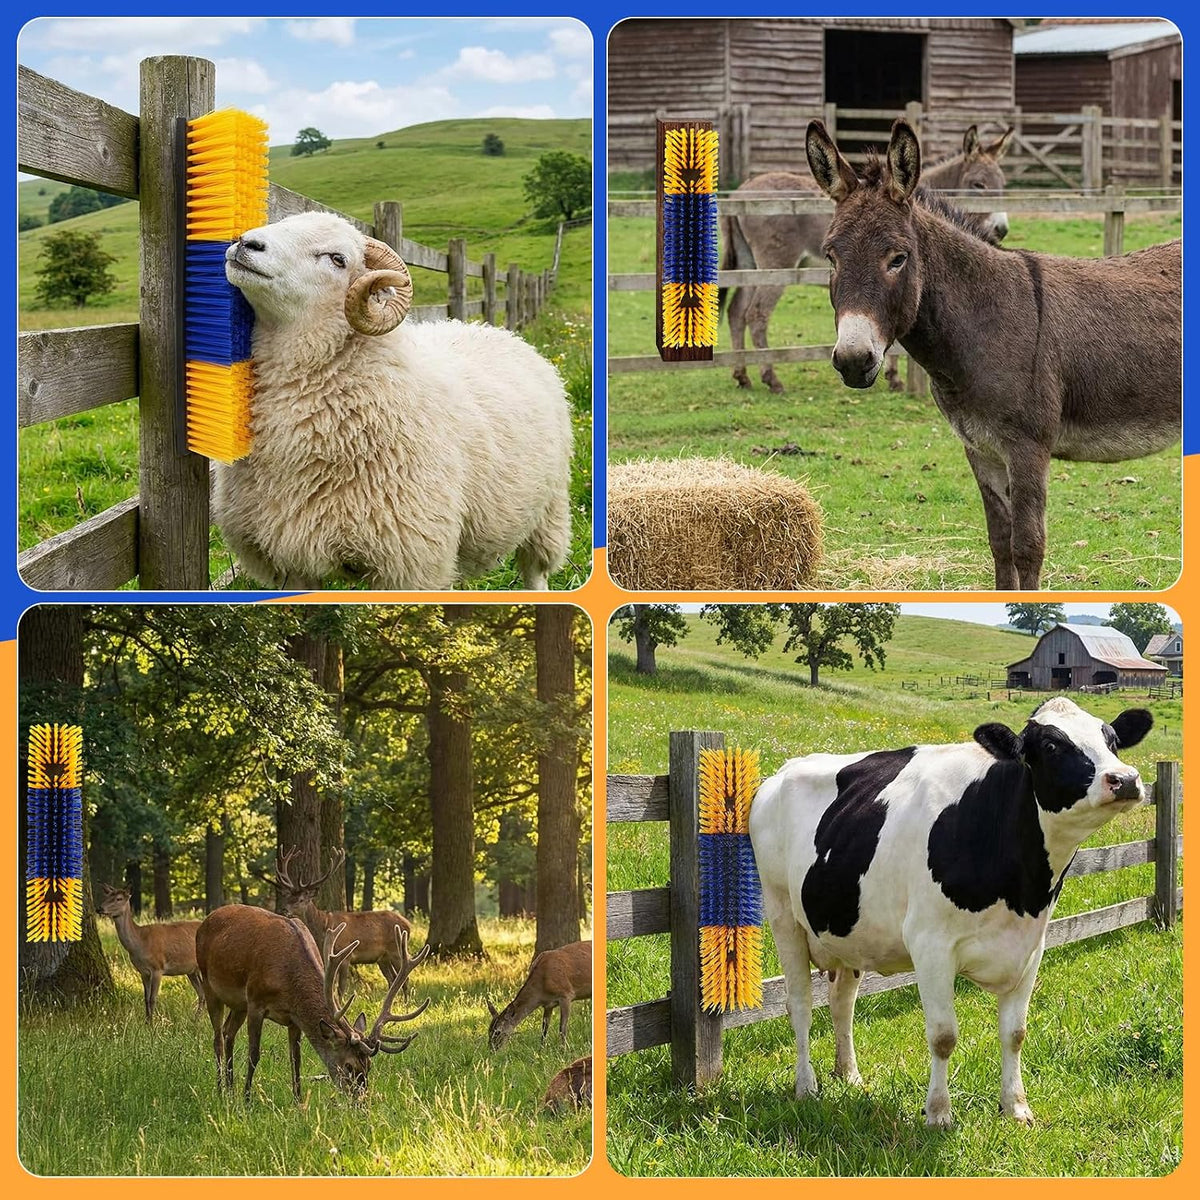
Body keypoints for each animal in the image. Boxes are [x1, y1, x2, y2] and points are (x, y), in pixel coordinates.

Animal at [213, 210, 574, 590]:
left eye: (337, 259)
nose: (247, 243)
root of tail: (495, 329)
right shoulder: (288, 558)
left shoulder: (409, 562)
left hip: (549, 508)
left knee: (536, 567)